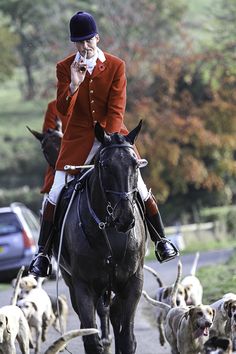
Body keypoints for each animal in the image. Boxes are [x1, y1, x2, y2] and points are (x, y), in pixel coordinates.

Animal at [52, 120, 147, 352]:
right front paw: (100, 342)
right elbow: (91, 340)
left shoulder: (133, 282)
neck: (110, 228)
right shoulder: (83, 287)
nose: (125, 217)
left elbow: (127, 338)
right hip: (73, 282)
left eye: (135, 165)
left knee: (114, 315)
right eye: (105, 165)